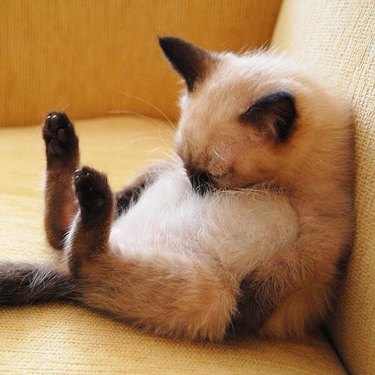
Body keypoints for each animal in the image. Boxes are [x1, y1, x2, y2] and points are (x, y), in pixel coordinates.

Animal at [0, 36, 356, 342]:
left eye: (213, 176)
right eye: (189, 166)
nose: (192, 186)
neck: (279, 186)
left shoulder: (316, 241)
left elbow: (273, 284)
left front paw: (247, 315)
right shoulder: (166, 166)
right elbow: (133, 185)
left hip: (211, 291)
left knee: (79, 258)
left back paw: (91, 188)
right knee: (64, 235)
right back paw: (63, 143)